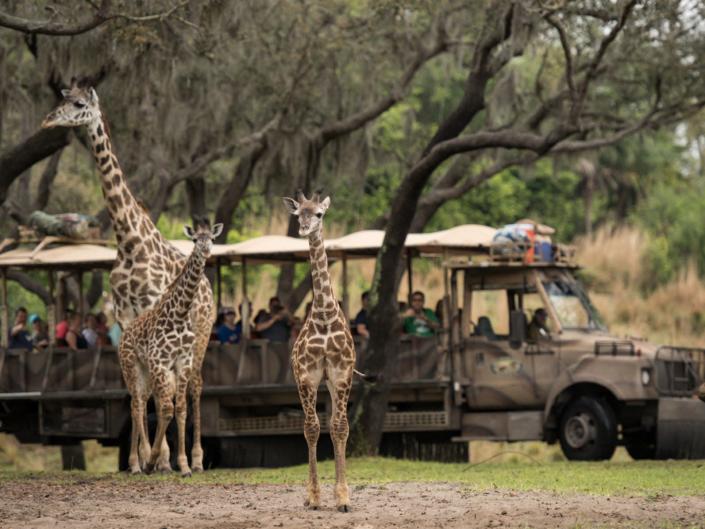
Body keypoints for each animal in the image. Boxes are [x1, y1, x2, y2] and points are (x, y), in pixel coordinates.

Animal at [42, 79, 213, 470]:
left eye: (79, 104)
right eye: (62, 98)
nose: (48, 120)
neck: (129, 238)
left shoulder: (151, 305)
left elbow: (162, 391)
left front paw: (162, 459)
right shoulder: (124, 314)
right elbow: (138, 390)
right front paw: (139, 459)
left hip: (203, 332)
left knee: (195, 385)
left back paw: (195, 458)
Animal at [119, 221, 223, 476]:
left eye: (212, 239)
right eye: (195, 239)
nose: (206, 250)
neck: (180, 314)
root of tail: (124, 333)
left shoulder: (182, 363)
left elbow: (181, 409)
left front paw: (184, 465)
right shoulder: (161, 362)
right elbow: (166, 408)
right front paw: (153, 460)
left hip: (146, 371)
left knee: (141, 402)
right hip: (131, 366)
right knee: (136, 404)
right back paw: (137, 464)